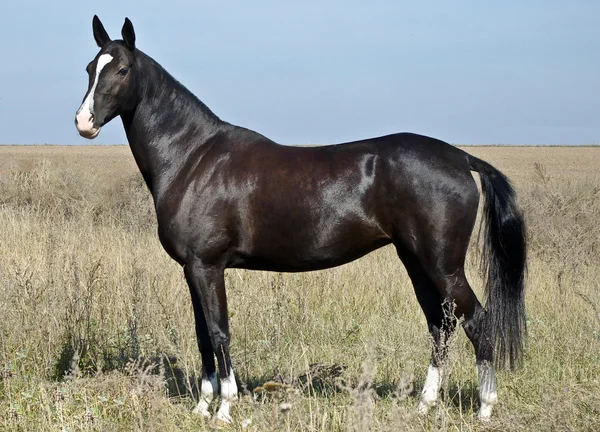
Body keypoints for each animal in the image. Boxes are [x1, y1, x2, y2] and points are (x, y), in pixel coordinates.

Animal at [74, 16, 524, 426]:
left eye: (122, 69)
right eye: (90, 67)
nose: (83, 123)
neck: (193, 157)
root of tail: (461, 157)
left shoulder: (208, 267)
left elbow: (219, 332)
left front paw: (224, 408)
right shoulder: (192, 270)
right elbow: (203, 335)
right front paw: (202, 405)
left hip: (443, 264)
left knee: (477, 322)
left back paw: (485, 408)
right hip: (415, 260)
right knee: (440, 325)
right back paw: (423, 406)